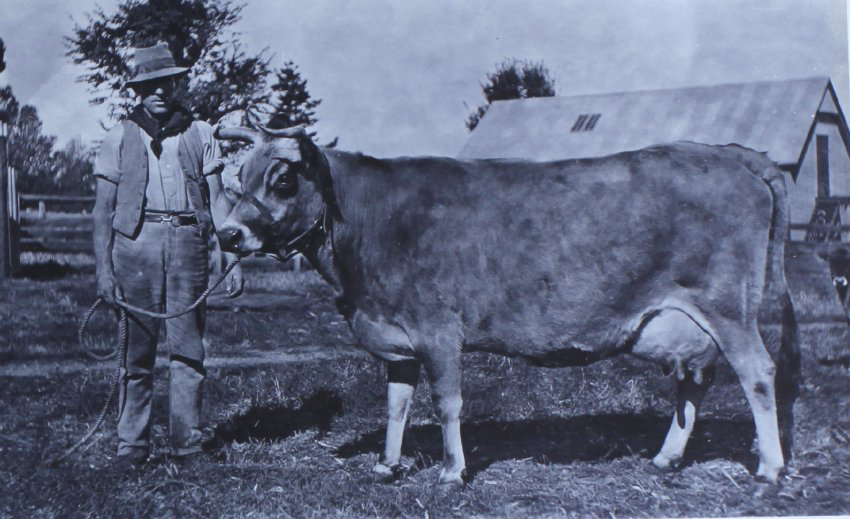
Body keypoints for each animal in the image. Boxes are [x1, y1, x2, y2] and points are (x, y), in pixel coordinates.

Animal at [214, 124, 800, 486]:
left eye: (282, 179)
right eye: (238, 178)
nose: (228, 234)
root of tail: (729, 153)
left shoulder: (437, 329)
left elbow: (446, 402)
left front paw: (452, 472)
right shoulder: (396, 338)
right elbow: (396, 405)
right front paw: (386, 466)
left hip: (728, 307)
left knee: (758, 372)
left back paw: (769, 468)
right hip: (683, 322)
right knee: (695, 379)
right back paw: (666, 457)